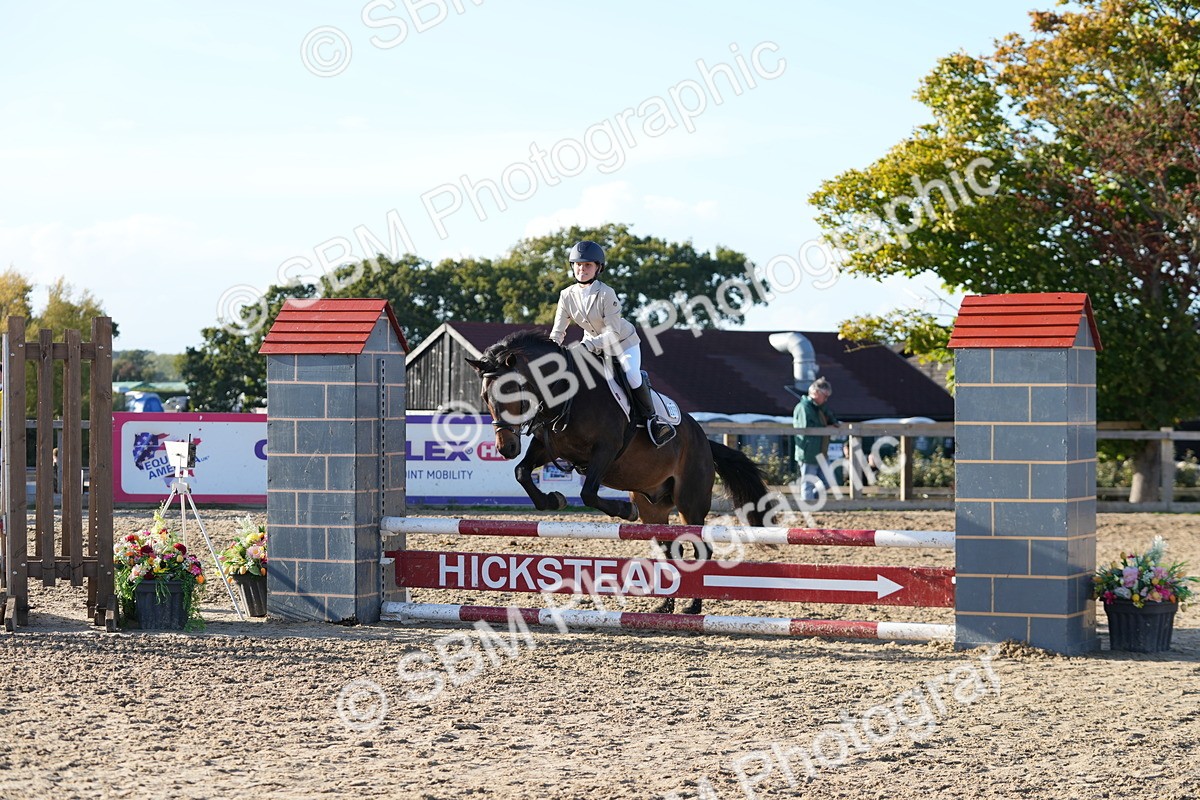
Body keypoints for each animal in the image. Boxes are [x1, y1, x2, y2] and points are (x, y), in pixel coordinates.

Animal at [466, 329, 773, 614]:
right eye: (484, 396)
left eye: (509, 391)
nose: (506, 447)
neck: (566, 395)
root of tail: (704, 441)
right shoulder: (546, 446)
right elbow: (522, 472)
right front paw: (553, 500)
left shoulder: (605, 450)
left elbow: (588, 493)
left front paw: (624, 511)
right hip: (654, 508)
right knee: (671, 548)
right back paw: (666, 606)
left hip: (690, 502)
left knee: (701, 548)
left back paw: (693, 606)